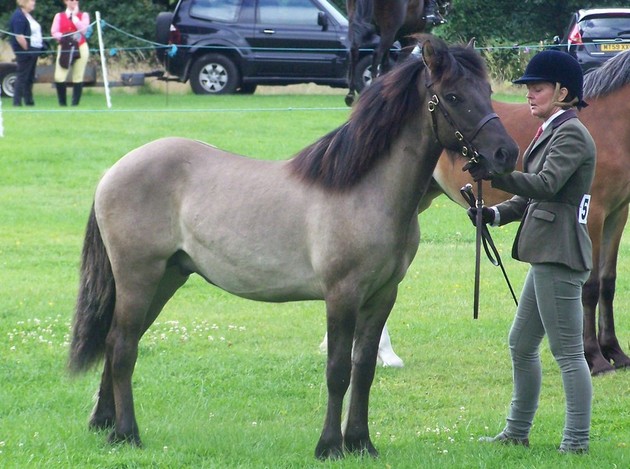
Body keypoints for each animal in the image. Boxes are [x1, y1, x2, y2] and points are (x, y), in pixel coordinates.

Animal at [68, 35, 520, 458]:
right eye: (454, 96)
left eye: (486, 90)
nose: (506, 152)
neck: (365, 190)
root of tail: (114, 171)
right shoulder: (342, 295)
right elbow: (337, 371)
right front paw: (330, 446)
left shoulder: (382, 296)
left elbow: (364, 369)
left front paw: (361, 442)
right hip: (139, 276)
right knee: (122, 347)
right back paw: (127, 433)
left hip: (166, 278)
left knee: (117, 342)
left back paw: (104, 424)